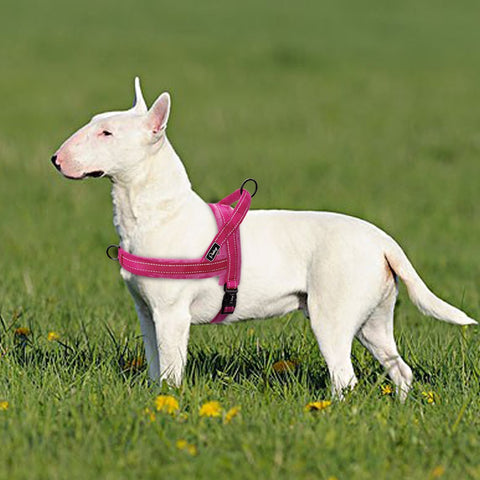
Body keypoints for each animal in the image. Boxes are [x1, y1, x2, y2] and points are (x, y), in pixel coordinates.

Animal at [52, 79, 476, 400]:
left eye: (107, 133)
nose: (56, 159)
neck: (160, 211)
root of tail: (383, 241)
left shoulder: (172, 315)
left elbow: (171, 372)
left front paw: (168, 405)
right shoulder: (146, 312)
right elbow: (156, 367)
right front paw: (154, 399)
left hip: (331, 317)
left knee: (345, 377)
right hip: (374, 320)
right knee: (399, 368)